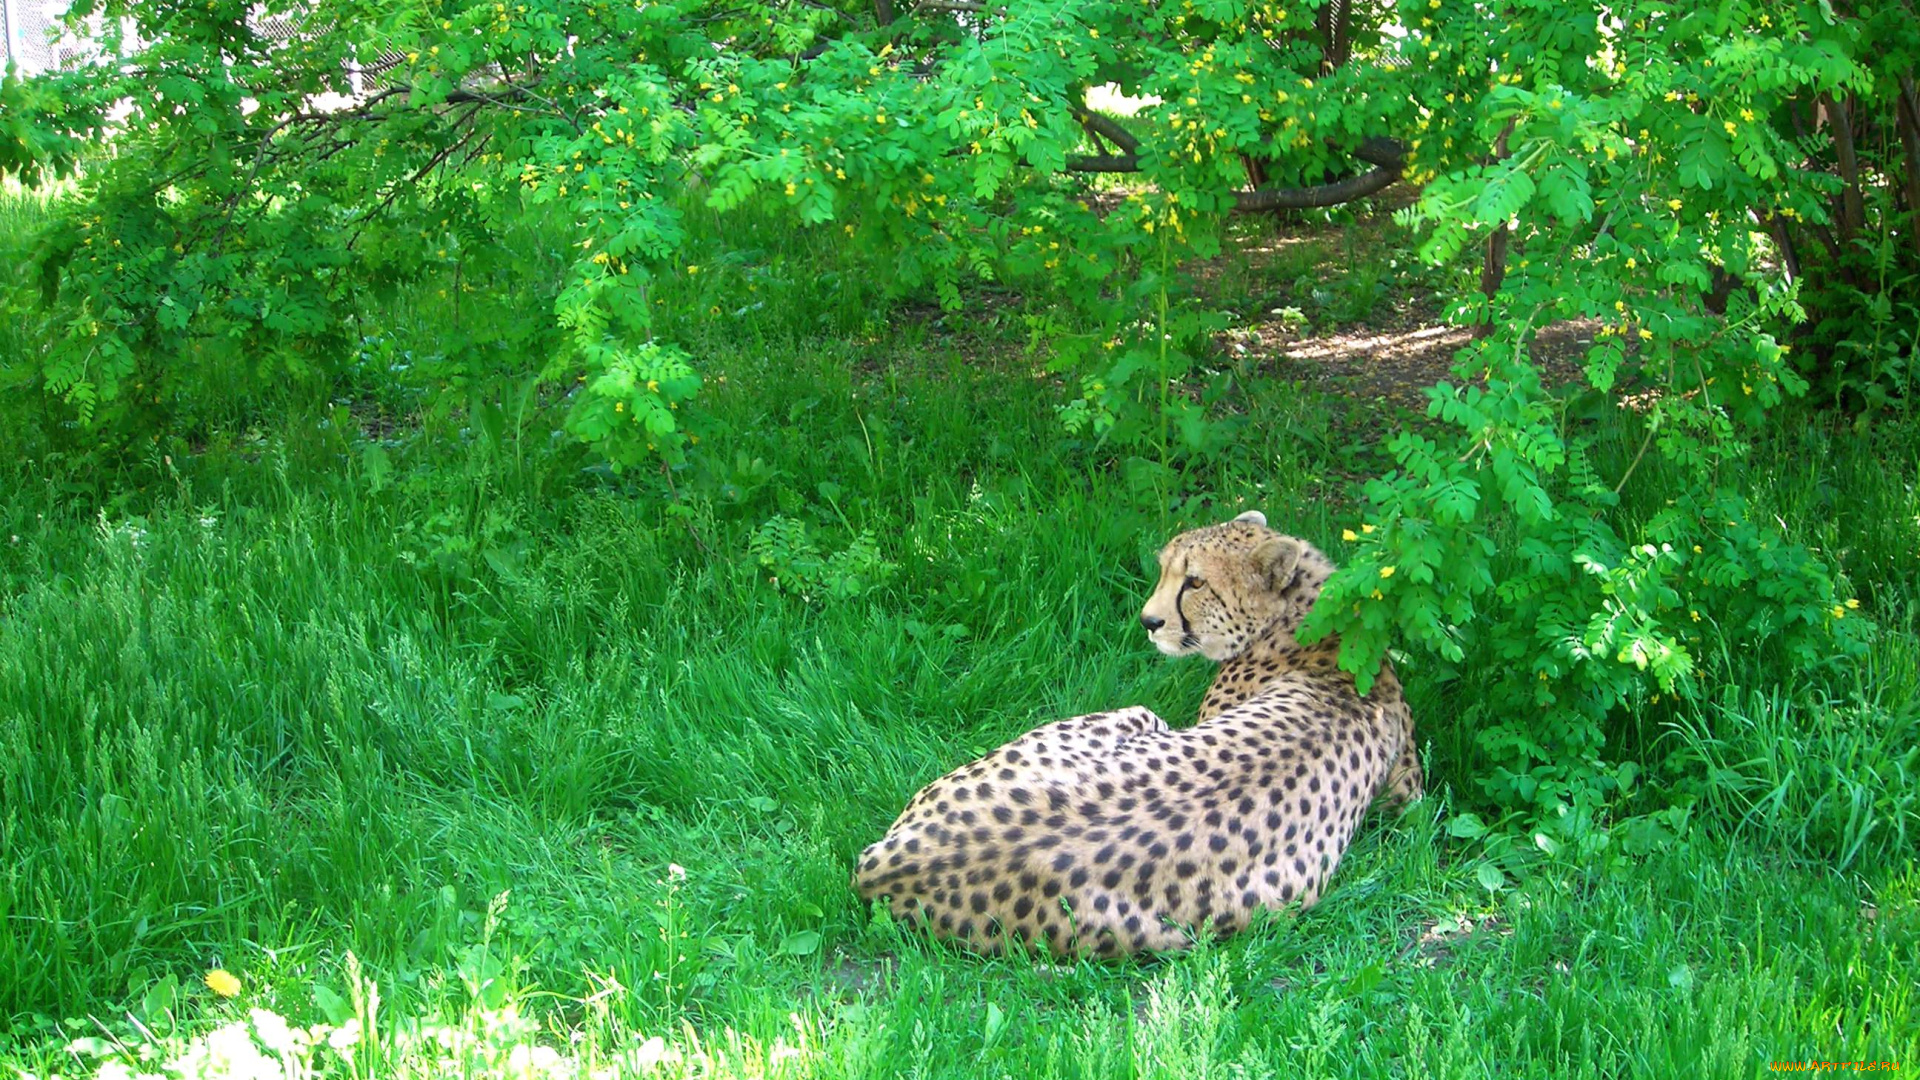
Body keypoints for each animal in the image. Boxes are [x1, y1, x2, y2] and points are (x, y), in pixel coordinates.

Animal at [856, 507, 1428, 953]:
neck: (1320, 629)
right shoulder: (1410, 795)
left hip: (1138, 715)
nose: (1148, 622)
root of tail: (889, 865)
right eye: (1166, 570)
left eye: (1195, 581)